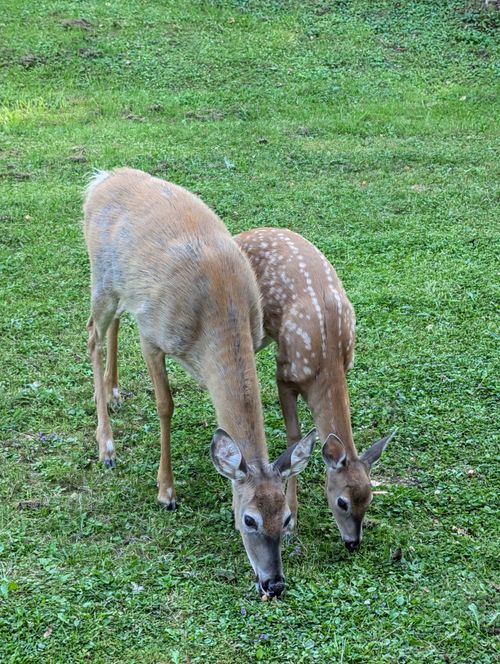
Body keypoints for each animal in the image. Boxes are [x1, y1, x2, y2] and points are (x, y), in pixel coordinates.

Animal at [83, 168, 316, 598]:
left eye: (287, 517)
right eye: (249, 519)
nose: (274, 583)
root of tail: (99, 179)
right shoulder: (154, 335)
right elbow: (165, 405)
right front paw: (166, 492)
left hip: (121, 287)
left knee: (114, 323)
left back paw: (115, 392)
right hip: (101, 276)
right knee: (92, 333)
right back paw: (106, 445)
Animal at [235, 228, 394, 551]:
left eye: (370, 499)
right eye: (342, 502)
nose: (353, 542)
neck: (326, 363)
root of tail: (240, 235)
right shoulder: (285, 374)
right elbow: (295, 439)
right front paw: (292, 518)